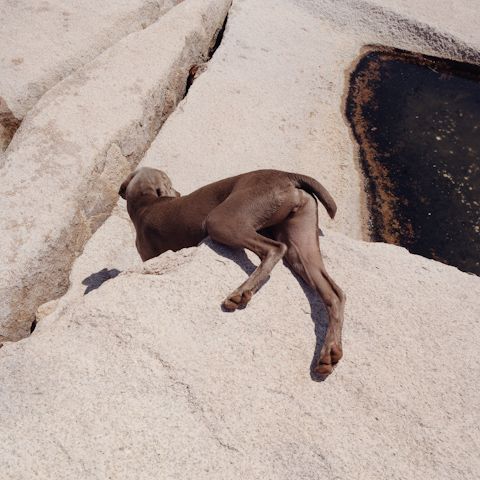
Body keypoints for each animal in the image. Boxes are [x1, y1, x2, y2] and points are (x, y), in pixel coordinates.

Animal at [119, 167, 344, 376]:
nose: (179, 192)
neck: (146, 204)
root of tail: (286, 174)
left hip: (221, 219)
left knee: (275, 248)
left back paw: (240, 294)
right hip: (301, 239)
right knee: (335, 292)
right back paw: (330, 353)